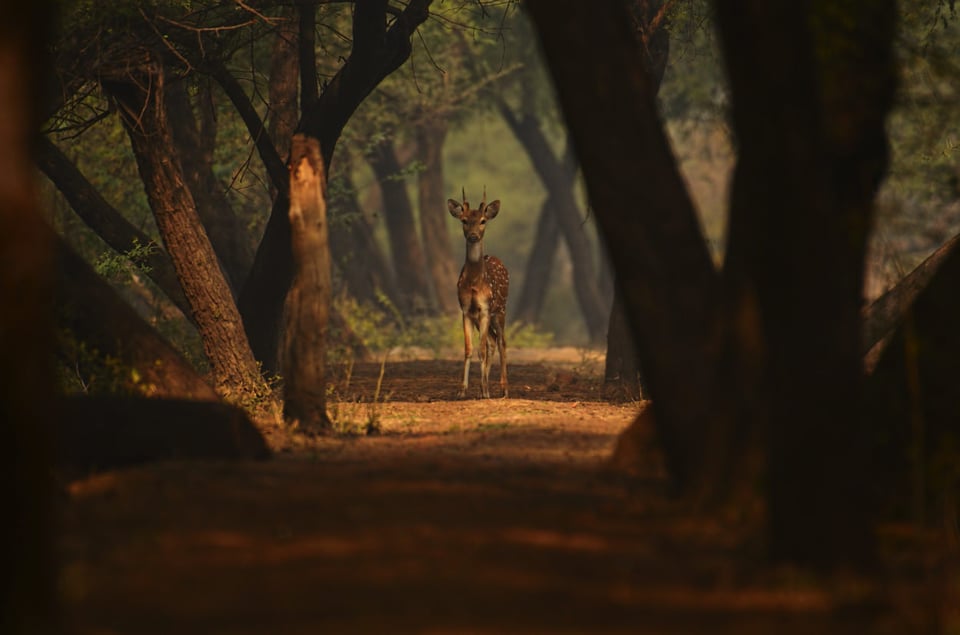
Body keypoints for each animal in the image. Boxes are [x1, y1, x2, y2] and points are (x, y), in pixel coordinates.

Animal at [450, 188, 510, 398]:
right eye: (464, 220)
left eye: (483, 220)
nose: (473, 235)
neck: (475, 283)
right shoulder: (466, 310)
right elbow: (469, 349)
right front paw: (462, 390)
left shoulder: (485, 308)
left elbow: (481, 350)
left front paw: (485, 391)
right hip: (482, 317)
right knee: (492, 341)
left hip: (500, 309)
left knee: (501, 342)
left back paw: (503, 388)